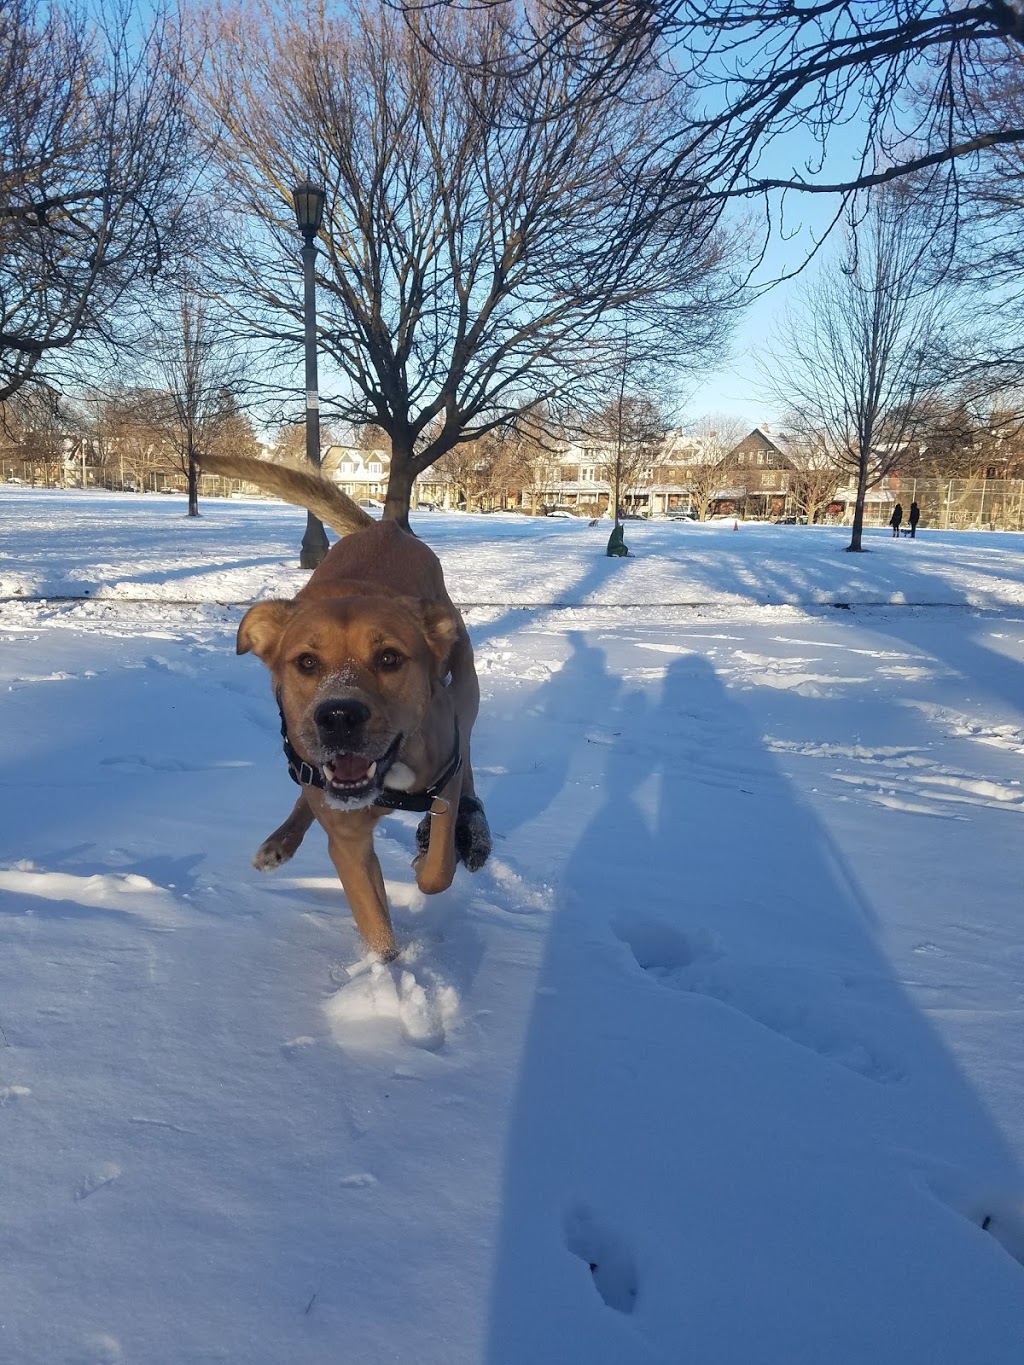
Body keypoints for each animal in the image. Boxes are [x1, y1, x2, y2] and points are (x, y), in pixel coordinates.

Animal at [200, 453, 494, 955]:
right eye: (306, 662)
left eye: (390, 658)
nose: (339, 715)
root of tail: (387, 527)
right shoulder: (348, 842)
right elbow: (377, 929)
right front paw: (386, 972)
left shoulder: (443, 781)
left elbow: (437, 871)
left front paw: (429, 858)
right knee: (307, 791)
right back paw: (279, 841)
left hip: (466, 684)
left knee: (469, 747)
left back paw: (473, 826)